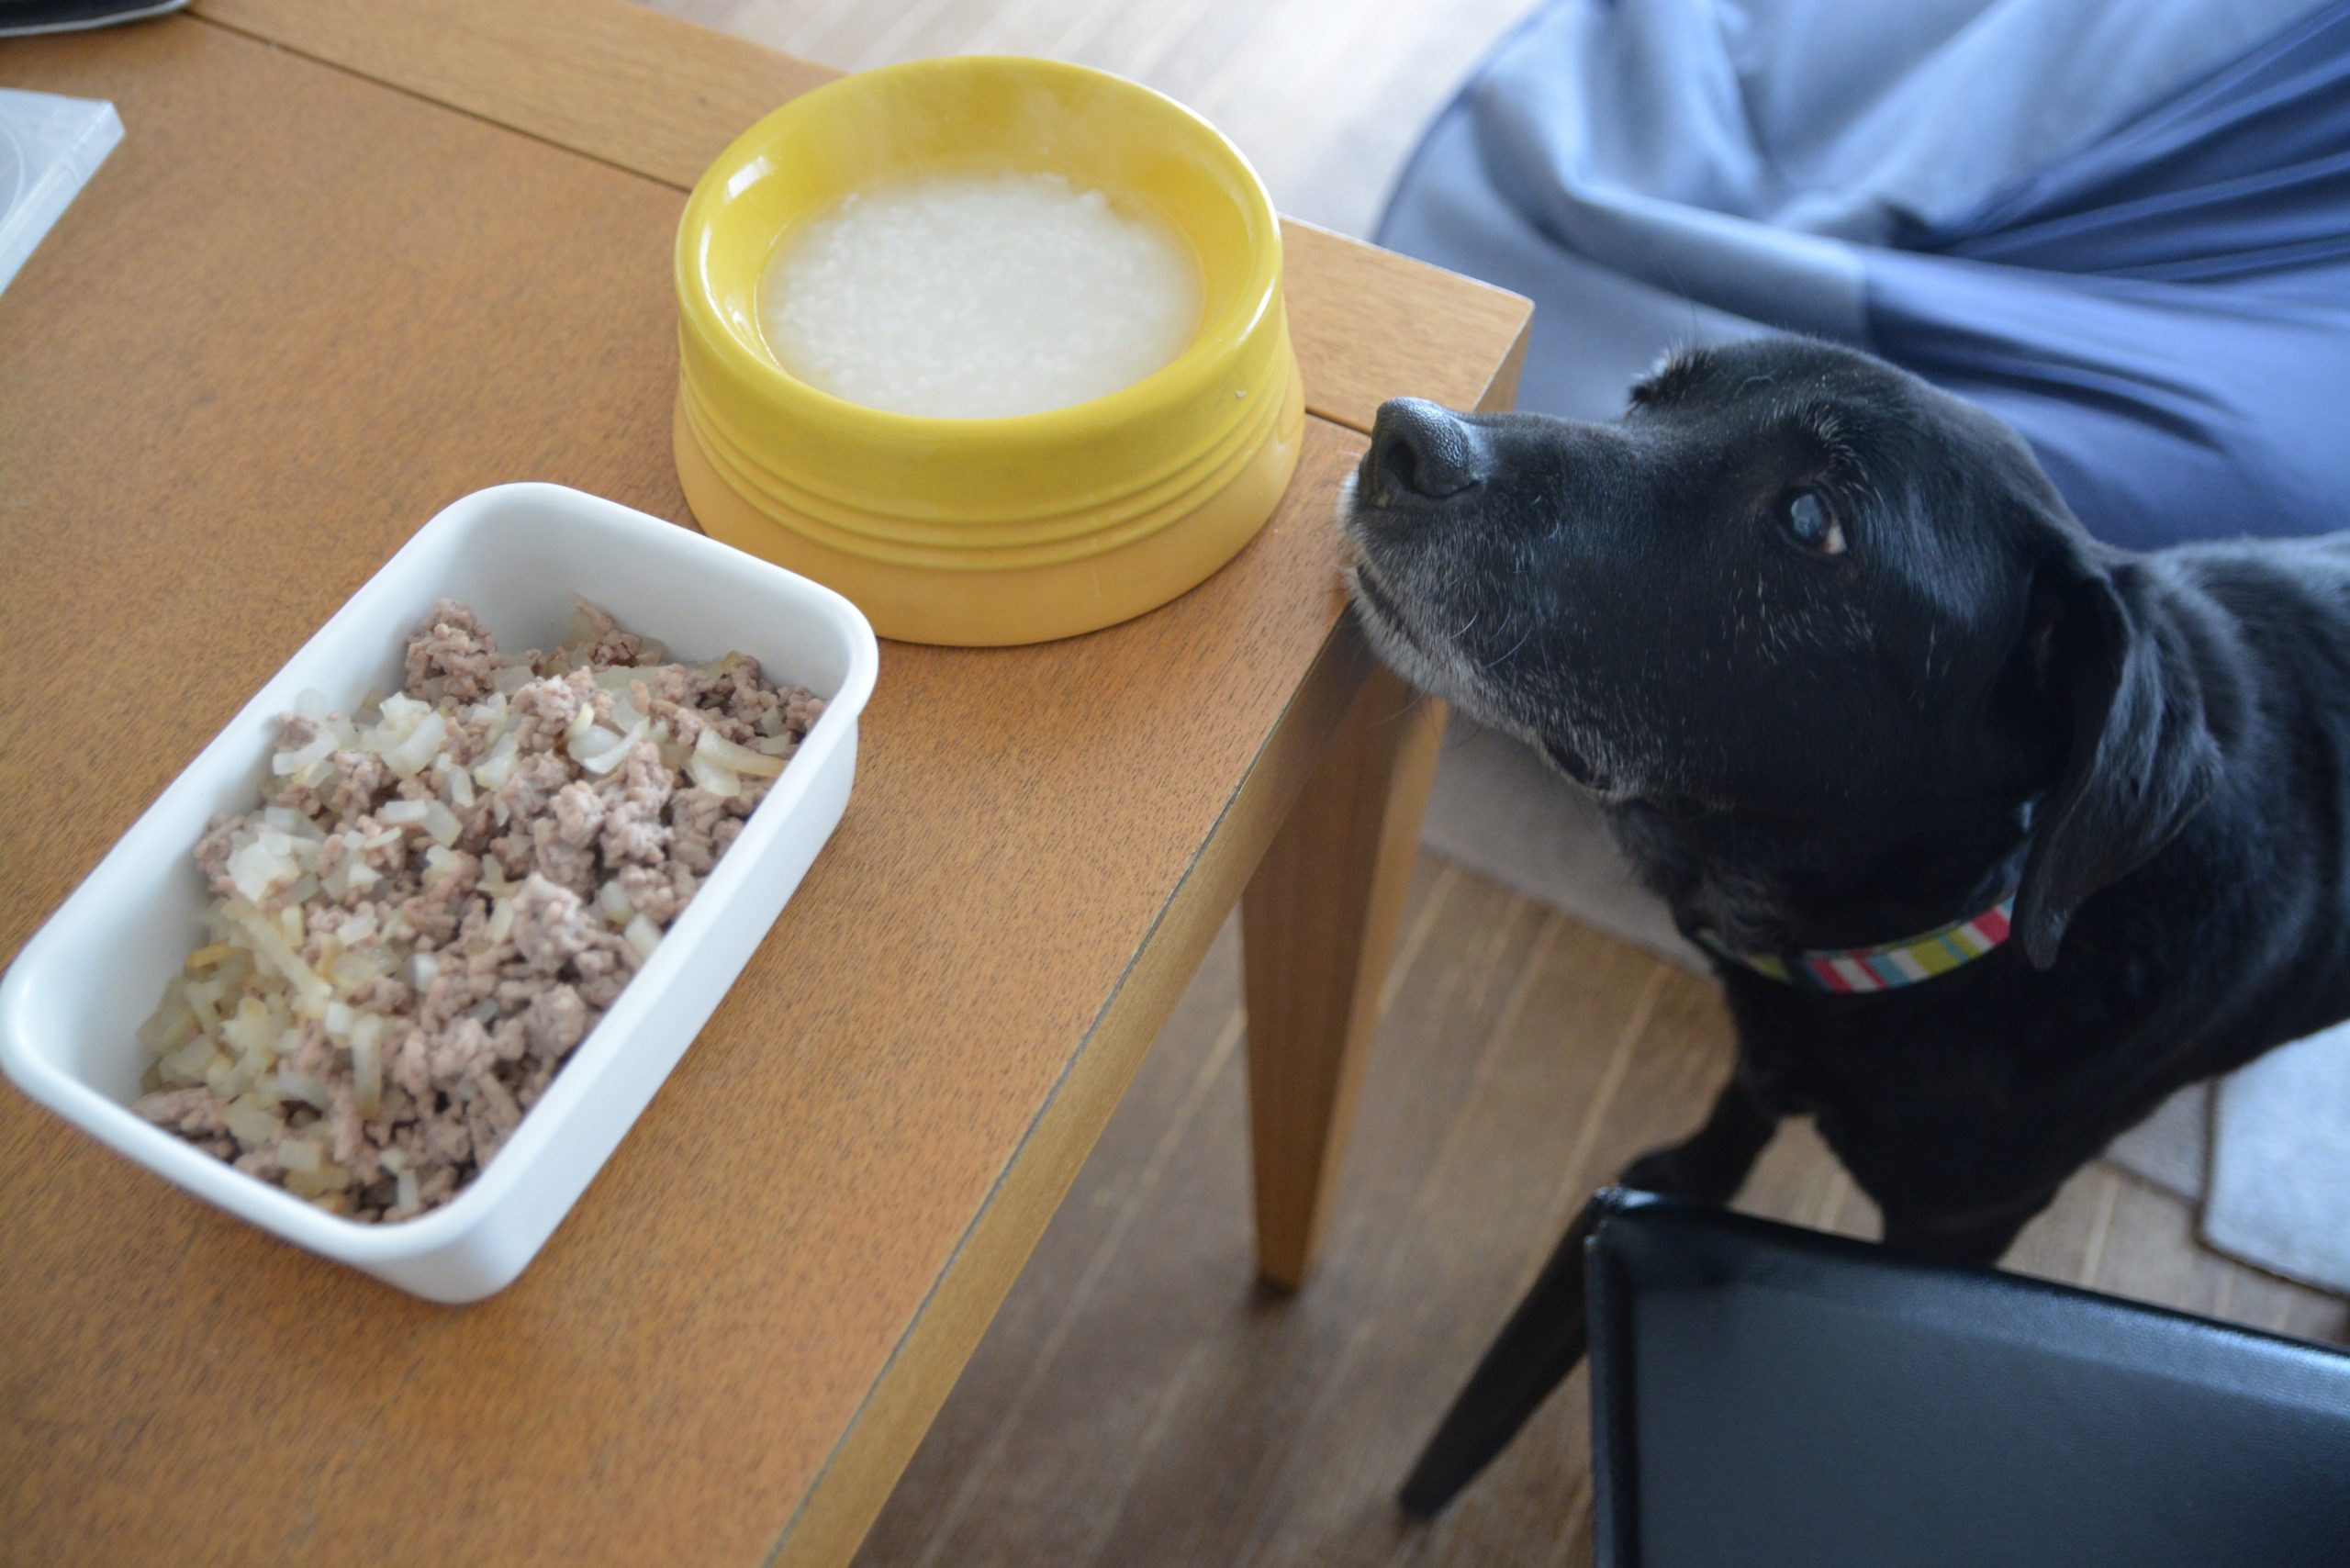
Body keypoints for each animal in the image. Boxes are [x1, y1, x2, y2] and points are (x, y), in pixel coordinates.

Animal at [1353, 338, 2350, 1514]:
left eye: (1809, 520)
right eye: (1652, 395)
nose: (1403, 438)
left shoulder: (1954, 1237)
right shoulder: (1744, 1091)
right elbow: (1702, 1154)